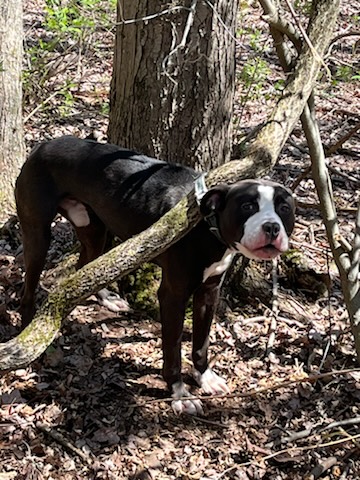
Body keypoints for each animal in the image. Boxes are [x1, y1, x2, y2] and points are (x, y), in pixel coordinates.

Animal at [15, 137, 296, 414]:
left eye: (284, 208)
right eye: (247, 206)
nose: (271, 227)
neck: (207, 227)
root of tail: (42, 145)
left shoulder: (209, 292)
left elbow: (201, 342)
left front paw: (204, 376)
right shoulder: (172, 295)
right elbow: (172, 350)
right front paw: (180, 393)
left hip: (94, 230)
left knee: (85, 268)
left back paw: (106, 299)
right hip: (38, 234)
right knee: (28, 289)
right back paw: (30, 337)